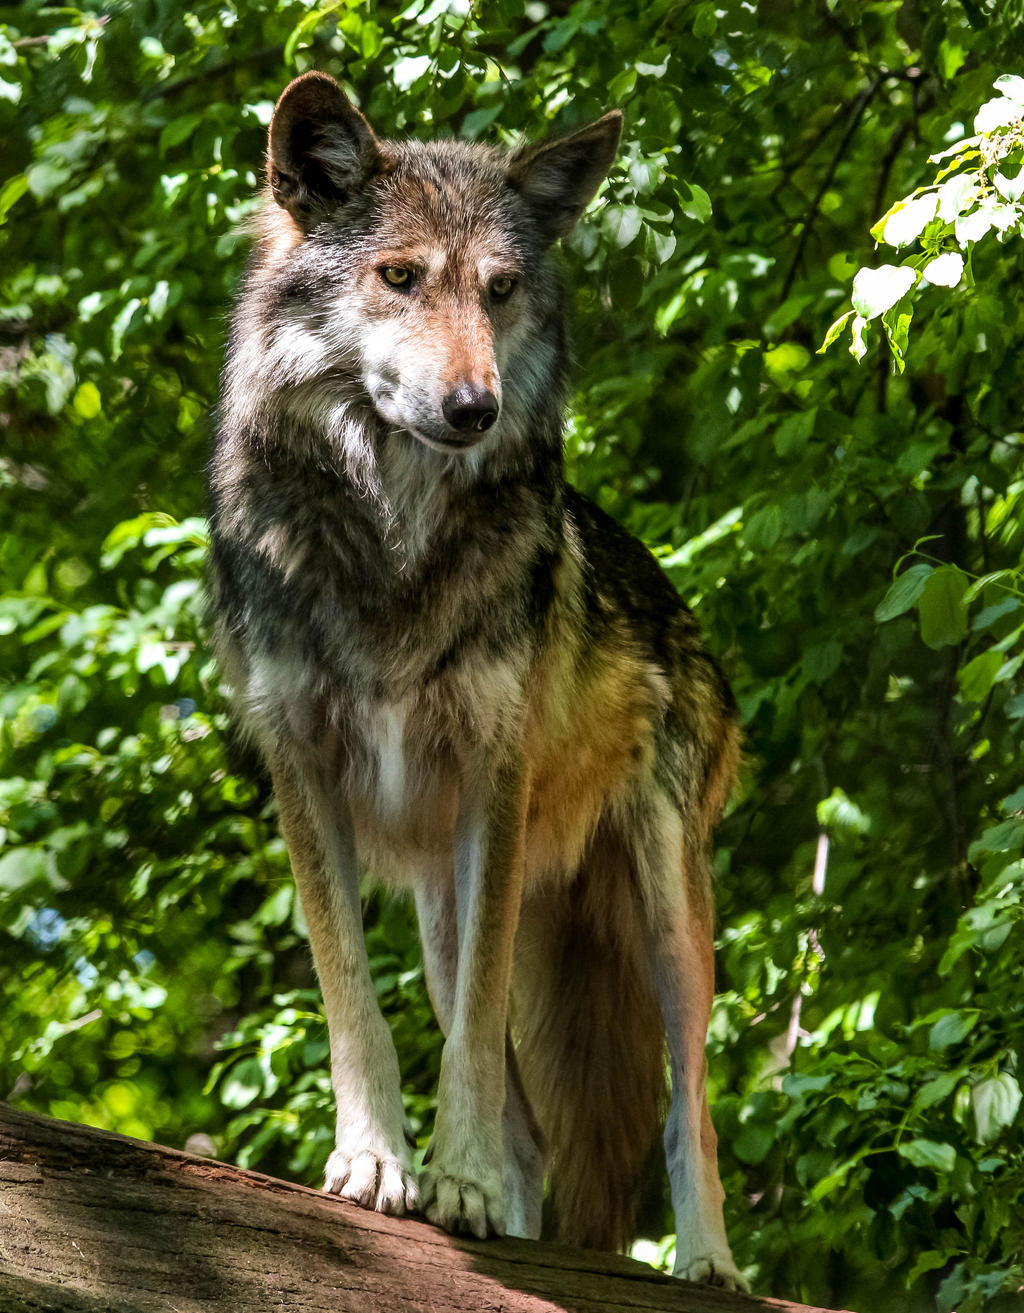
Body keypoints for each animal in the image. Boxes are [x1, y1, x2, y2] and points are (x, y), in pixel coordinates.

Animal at [207, 66, 745, 1286]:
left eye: (499, 290)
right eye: (400, 276)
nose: (475, 408)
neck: (393, 536)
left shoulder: (491, 783)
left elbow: (470, 1046)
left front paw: (453, 1177)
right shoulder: (303, 771)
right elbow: (355, 1001)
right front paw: (378, 1163)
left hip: (664, 915)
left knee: (686, 1106)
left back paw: (708, 1264)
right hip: (450, 912)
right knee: (538, 1124)